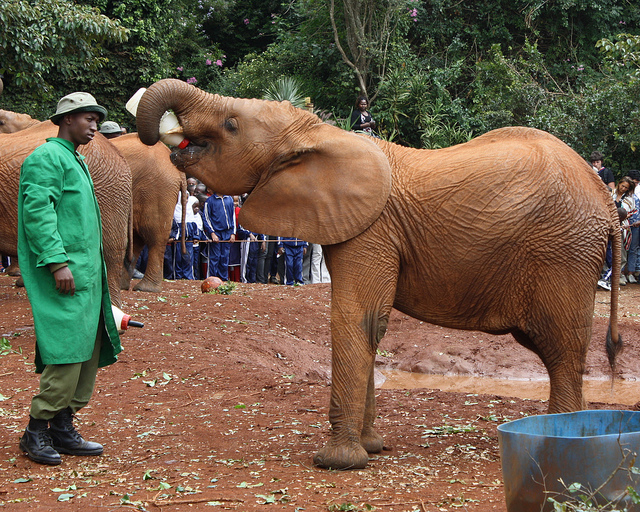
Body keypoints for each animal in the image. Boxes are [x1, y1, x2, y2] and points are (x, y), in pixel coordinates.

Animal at [135, 78, 622, 470]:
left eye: (232, 124)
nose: (160, 135)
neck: (318, 132)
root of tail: (607, 200)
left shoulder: (372, 230)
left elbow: (358, 319)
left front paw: (338, 462)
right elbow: (372, 327)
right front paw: (372, 448)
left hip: (564, 252)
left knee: (561, 347)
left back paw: (558, 441)